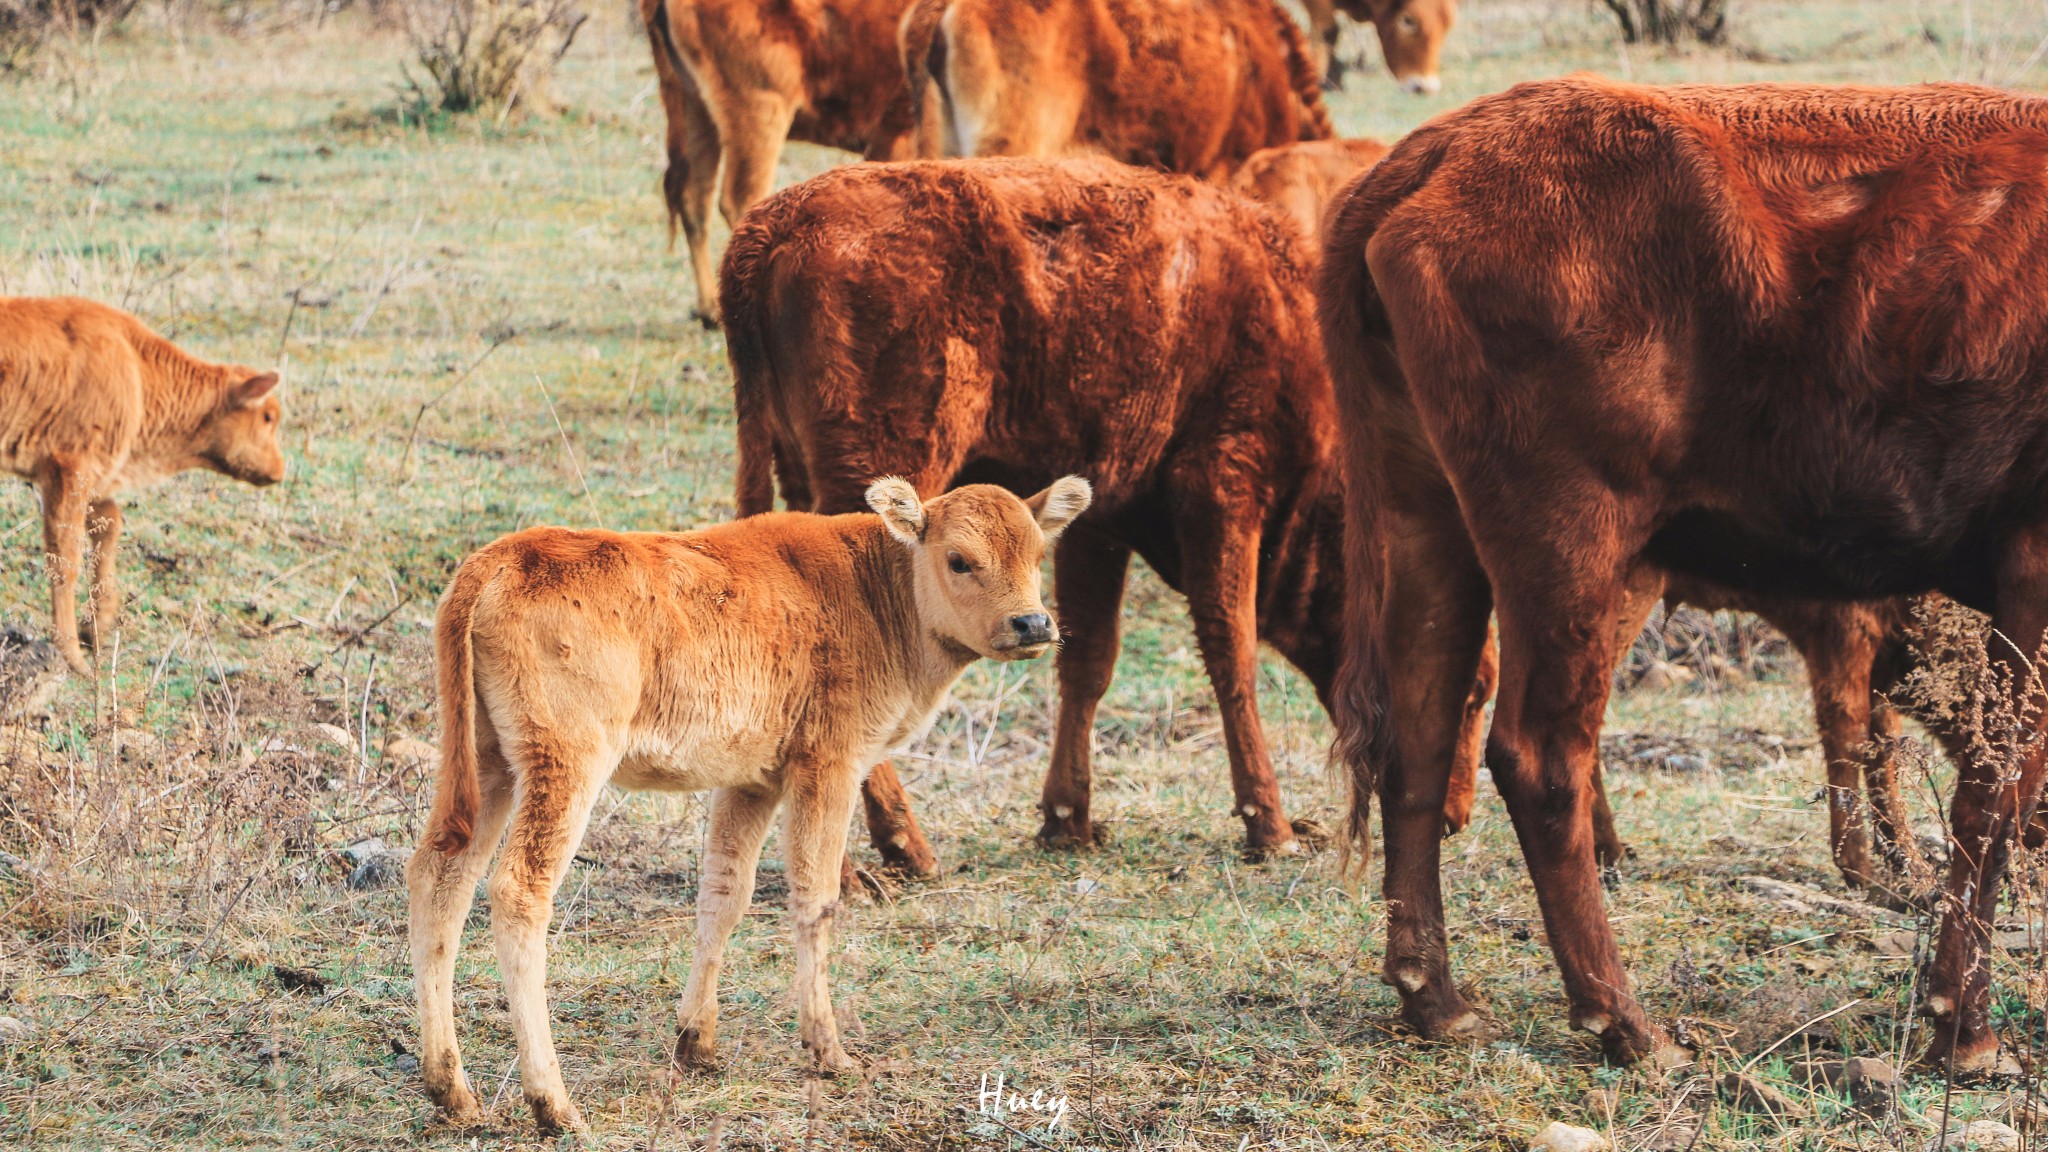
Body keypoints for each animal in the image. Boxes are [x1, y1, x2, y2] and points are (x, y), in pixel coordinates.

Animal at [405, 475, 1097, 1131]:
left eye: (1039, 555)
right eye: (959, 560)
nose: (1033, 624)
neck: (877, 584)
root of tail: (496, 561)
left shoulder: (753, 780)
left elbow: (724, 893)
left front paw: (696, 1044)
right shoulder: (830, 765)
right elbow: (816, 898)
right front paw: (829, 1052)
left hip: (487, 764)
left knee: (441, 875)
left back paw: (451, 1091)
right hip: (566, 764)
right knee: (518, 890)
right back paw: (553, 1104)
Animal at [638, 0, 929, 323]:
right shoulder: (896, 136)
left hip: (693, 107)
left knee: (695, 197)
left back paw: (710, 311)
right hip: (761, 109)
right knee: (741, 200)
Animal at [1318, 76, 2048, 1065]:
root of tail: (1435, 153)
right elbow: (1993, 789)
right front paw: (1964, 1028)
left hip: (1428, 525)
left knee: (1420, 740)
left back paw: (1438, 1001)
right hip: (1570, 547)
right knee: (1541, 757)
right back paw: (1626, 1023)